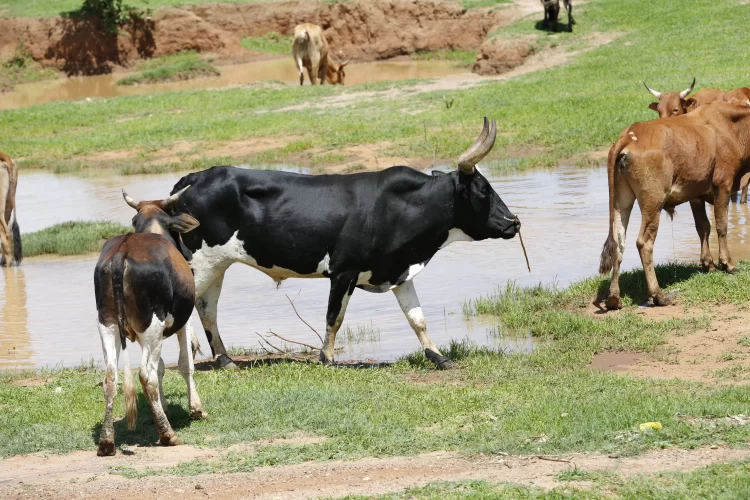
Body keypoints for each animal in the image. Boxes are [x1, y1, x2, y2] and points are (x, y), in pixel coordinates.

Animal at [94, 186, 207, 457]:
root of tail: (122, 252)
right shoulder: (182, 321)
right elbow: (185, 363)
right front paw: (196, 408)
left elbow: (163, 367)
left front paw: (163, 407)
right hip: (152, 326)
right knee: (146, 375)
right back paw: (168, 435)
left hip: (107, 324)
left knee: (111, 378)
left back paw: (106, 442)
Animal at [167, 118, 520, 370]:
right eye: (483, 190)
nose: (514, 222)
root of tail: (194, 178)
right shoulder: (343, 271)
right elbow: (334, 317)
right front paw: (327, 358)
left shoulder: (397, 270)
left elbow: (417, 318)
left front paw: (438, 357)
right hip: (200, 263)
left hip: (218, 264)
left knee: (207, 308)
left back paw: (226, 360)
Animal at [598, 103, 750, 310]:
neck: (731, 126)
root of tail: (631, 134)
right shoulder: (723, 185)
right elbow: (721, 226)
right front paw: (727, 264)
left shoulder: (696, 193)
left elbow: (703, 227)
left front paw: (708, 264)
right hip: (653, 201)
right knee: (644, 243)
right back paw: (658, 295)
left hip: (621, 201)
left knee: (618, 242)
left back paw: (614, 298)